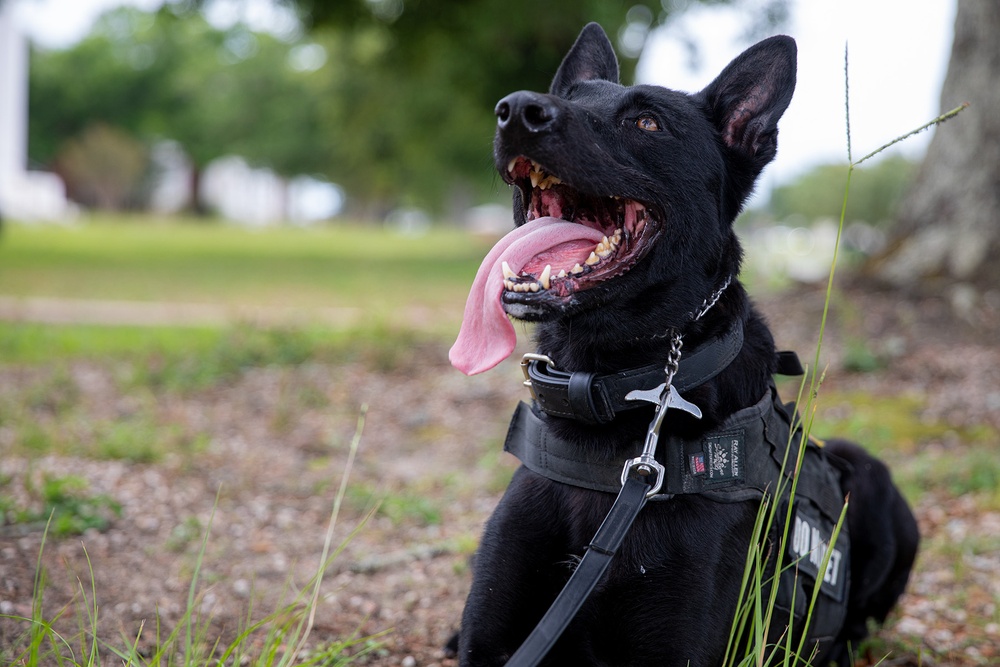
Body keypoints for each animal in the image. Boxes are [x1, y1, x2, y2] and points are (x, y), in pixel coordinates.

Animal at [450, 22, 916, 667]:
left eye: (647, 123)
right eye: (568, 98)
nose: (516, 109)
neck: (606, 386)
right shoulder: (492, 644)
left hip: (871, 476)